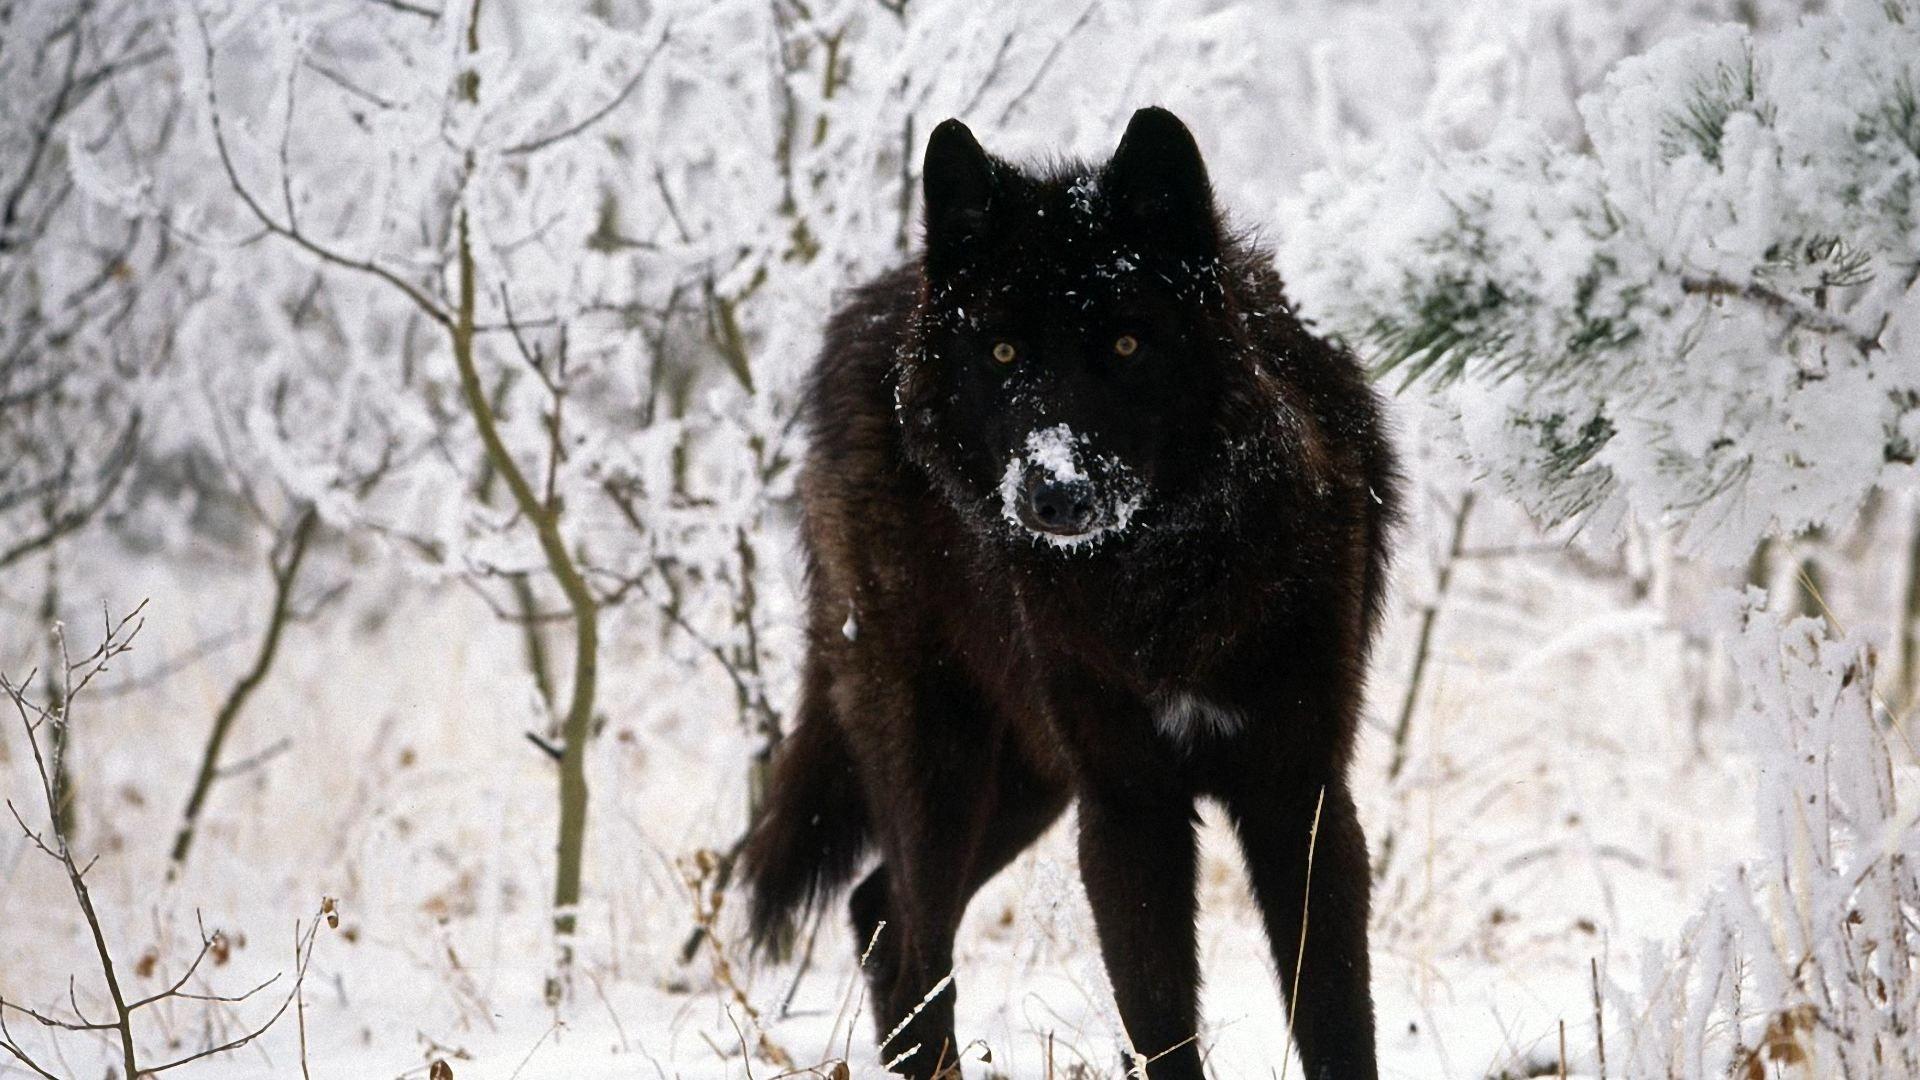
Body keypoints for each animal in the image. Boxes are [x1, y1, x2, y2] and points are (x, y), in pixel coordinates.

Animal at [740, 107, 1399, 1080]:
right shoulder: (1126, 807)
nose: (1054, 494)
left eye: (1126, 344)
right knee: (912, 941)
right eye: (1003, 349)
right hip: (942, 768)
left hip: (1028, 781)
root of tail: (869, 308)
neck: (1162, 587)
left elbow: (1335, 1020)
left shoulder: (1300, 796)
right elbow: (1161, 1026)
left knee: (877, 913)